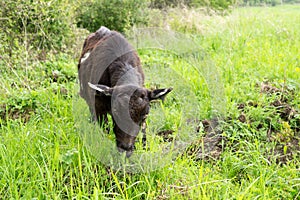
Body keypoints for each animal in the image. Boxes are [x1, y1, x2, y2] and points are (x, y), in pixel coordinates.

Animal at [77, 26, 172, 157]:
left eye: (145, 115)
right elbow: (104, 128)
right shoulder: (98, 104)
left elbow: (144, 132)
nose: (125, 148)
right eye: (116, 111)